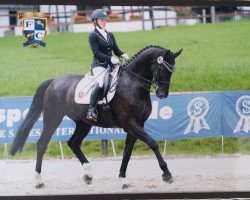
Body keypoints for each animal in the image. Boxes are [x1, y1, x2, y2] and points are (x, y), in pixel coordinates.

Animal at [9, 45, 183, 189]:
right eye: (162, 69)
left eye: (172, 71)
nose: (162, 94)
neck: (133, 84)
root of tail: (54, 82)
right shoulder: (131, 124)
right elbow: (153, 143)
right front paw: (167, 174)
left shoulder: (137, 125)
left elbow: (127, 152)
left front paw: (123, 179)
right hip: (53, 118)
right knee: (42, 144)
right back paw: (39, 181)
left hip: (84, 123)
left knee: (73, 143)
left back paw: (88, 175)